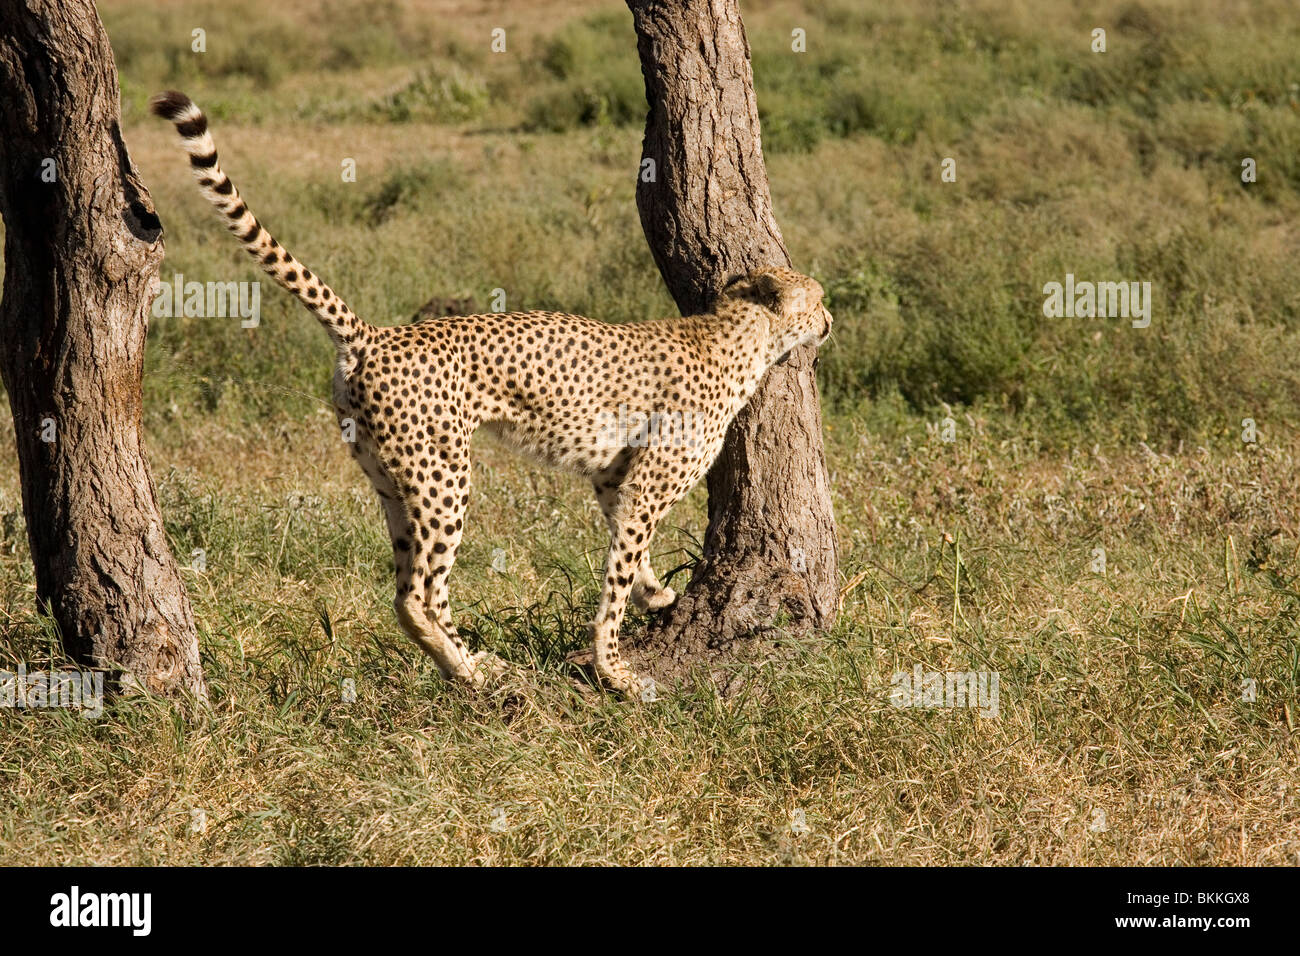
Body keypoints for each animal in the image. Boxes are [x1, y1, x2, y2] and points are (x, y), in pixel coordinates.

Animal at [150, 90, 833, 696]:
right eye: (820, 298)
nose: (830, 320)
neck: (739, 334)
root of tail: (376, 334)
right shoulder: (646, 484)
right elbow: (615, 578)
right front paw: (616, 669)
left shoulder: (615, 477)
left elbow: (627, 553)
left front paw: (656, 593)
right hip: (444, 475)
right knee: (422, 593)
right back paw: (476, 670)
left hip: (390, 477)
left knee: (404, 589)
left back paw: (470, 663)